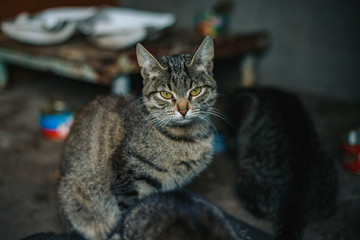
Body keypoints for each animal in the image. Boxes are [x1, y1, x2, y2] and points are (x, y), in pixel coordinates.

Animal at [57, 36, 218, 240]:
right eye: (166, 94)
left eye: (196, 91)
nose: (183, 110)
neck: (187, 138)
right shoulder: (127, 184)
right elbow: (129, 215)